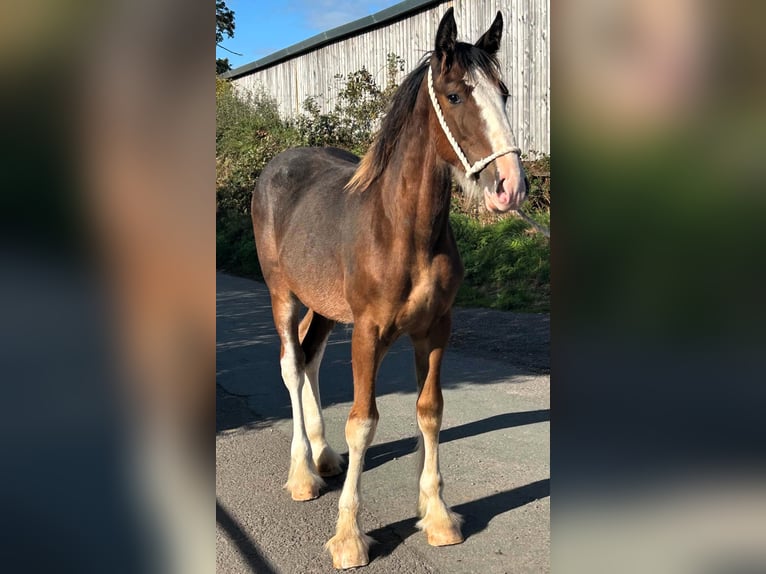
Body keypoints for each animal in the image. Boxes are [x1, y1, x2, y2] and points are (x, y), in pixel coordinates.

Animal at [251, 7, 527, 569]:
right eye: (455, 95)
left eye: (504, 93)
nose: (511, 187)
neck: (403, 229)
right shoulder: (368, 332)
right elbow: (363, 421)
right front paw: (349, 537)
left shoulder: (435, 329)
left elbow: (430, 411)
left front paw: (438, 516)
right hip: (282, 296)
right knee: (291, 365)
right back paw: (302, 474)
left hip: (325, 307)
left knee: (311, 358)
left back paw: (323, 456)